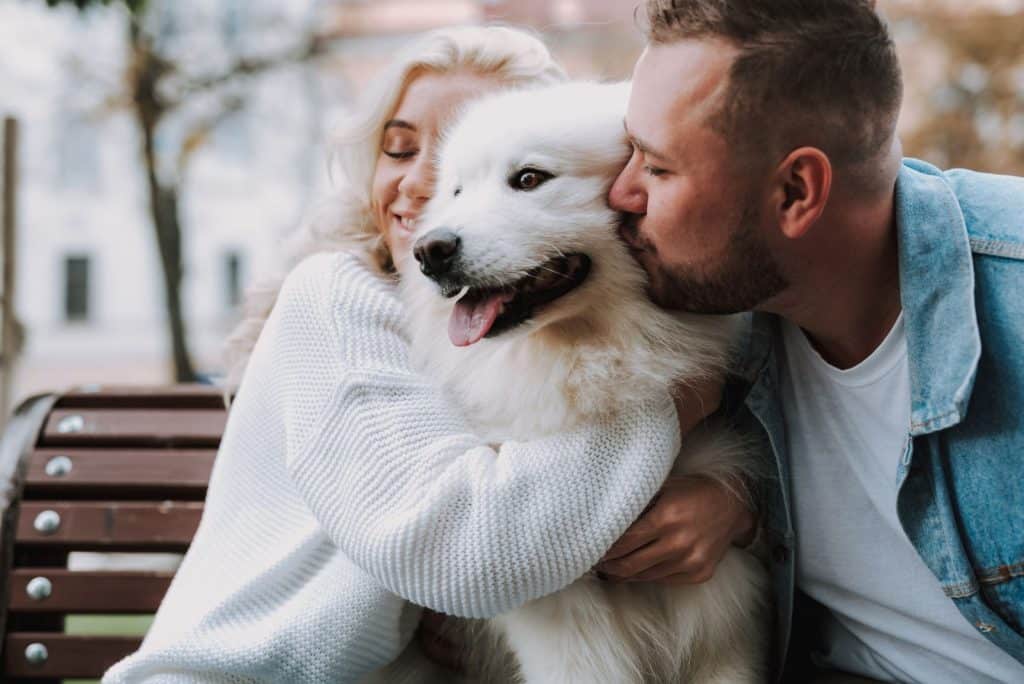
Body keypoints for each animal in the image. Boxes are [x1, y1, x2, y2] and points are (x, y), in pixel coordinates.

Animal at [395, 82, 765, 679]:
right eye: (456, 191)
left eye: (529, 179)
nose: (429, 251)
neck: (589, 358)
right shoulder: (565, 631)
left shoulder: (724, 625)